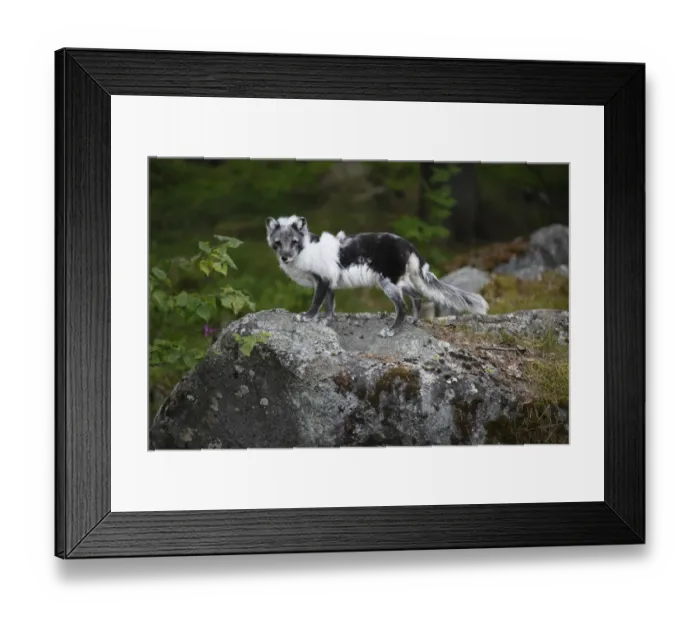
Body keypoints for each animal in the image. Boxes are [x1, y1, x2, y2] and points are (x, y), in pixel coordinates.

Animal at [266, 215, 489, 336]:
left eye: (294, 242)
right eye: (277, 243)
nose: (285, 257)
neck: (307, 249)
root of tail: (408, 244)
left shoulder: (321, 281)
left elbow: (316, 303)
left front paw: (306, 317)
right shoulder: (329, 282)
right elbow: (330, 306)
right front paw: (327, 322)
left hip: (388, 283)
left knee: (402, 308)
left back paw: (392, 330)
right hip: (400, 281)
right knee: (417, 297)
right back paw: (414, 321)